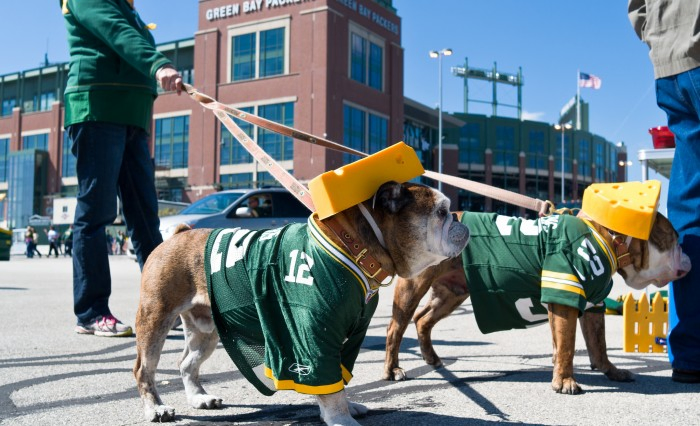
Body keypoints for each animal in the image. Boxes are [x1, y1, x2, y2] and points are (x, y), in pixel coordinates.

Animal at [134, 181, 470, 425]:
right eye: (441, 212)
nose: (459, 219)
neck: (358, 247)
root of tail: (179, 233)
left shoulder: (344, 338)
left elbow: (338, 379)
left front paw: (349, 406)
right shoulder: (312, 333)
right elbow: (328, 384)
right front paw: (341, 419)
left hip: (206, 329)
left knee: (187, 363)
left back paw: (199, 398)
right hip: (155, 318)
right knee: (143, 369)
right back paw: (156, 409)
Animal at [383, 210, 691, 394]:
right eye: (674, 238)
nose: (687, 254)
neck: (611, 239)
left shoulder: (592, 306)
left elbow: (597, 345)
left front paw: (611, 372)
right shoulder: (566, 300)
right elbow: (567, 345)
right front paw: (565, 381)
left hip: (452, 293)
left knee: (423, 319)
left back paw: (432, 358)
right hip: (413, 287)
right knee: (395, 328)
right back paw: (392, 369)